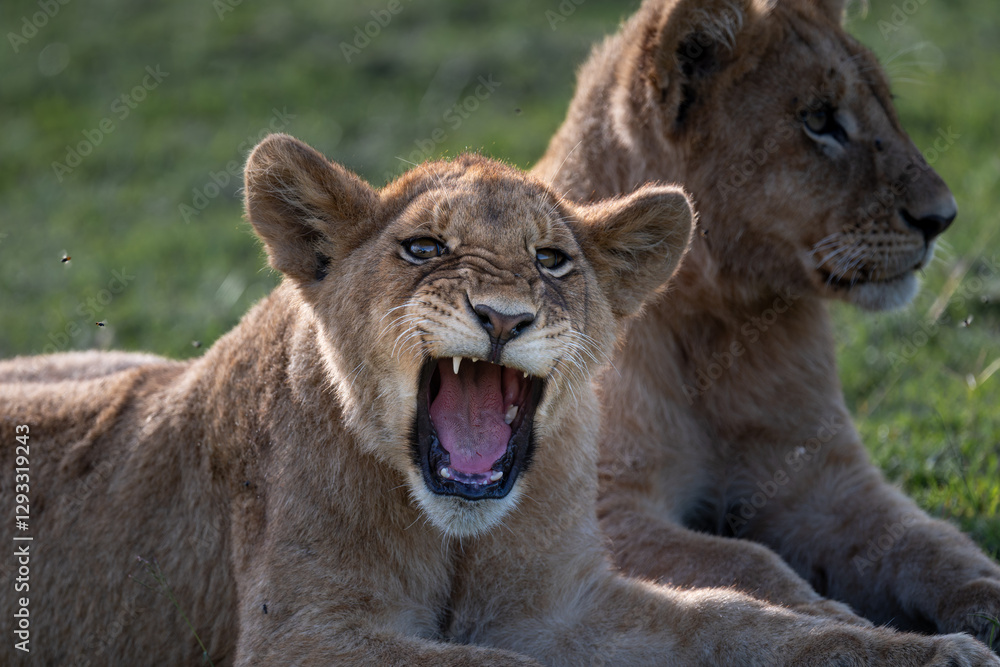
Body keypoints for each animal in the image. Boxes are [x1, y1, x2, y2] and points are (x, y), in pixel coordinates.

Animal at [5, 134, 998, 665]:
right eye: (424, 248)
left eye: (551, 260)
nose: (503, 316)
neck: (458, 542)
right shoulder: (303, 636)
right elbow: (490, 663)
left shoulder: (569, 602)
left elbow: (740, 619)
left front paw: (930, 648)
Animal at [532, 0, 1000, 651]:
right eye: (819, 120)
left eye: (886, 105)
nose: (942, 218)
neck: (717, 326)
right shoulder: (605, 505)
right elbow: (744, 562)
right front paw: (839, 624)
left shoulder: (824, 483)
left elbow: (933, 543)